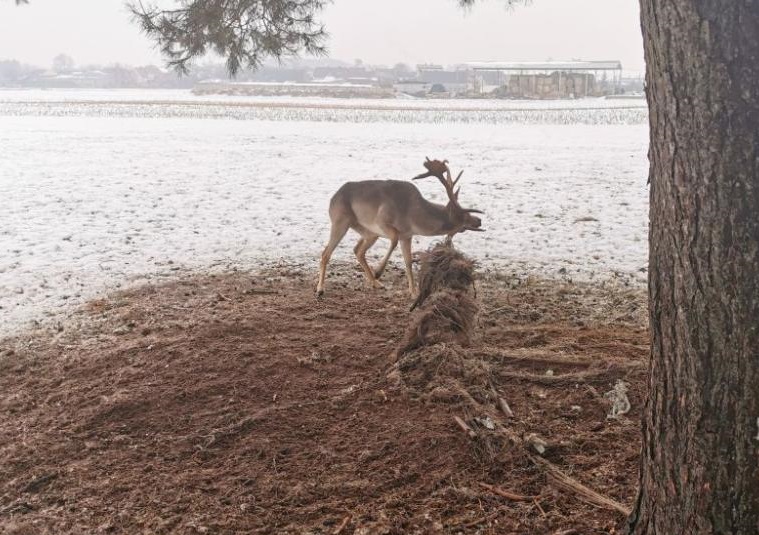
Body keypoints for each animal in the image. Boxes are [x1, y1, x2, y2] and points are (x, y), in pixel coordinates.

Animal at [316, 159, 484, 298]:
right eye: (463, 215)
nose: (479, 220)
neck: (412, 216)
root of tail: (332, 198)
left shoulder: (407, 235)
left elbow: (408, 261)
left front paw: (413, 292)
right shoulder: (382, 221)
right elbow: (394, 240)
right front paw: (379, 271)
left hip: (369, 232)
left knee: (357, 250)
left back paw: (376, 283)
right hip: (340, 220)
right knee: (326, 253)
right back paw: (320, 289)